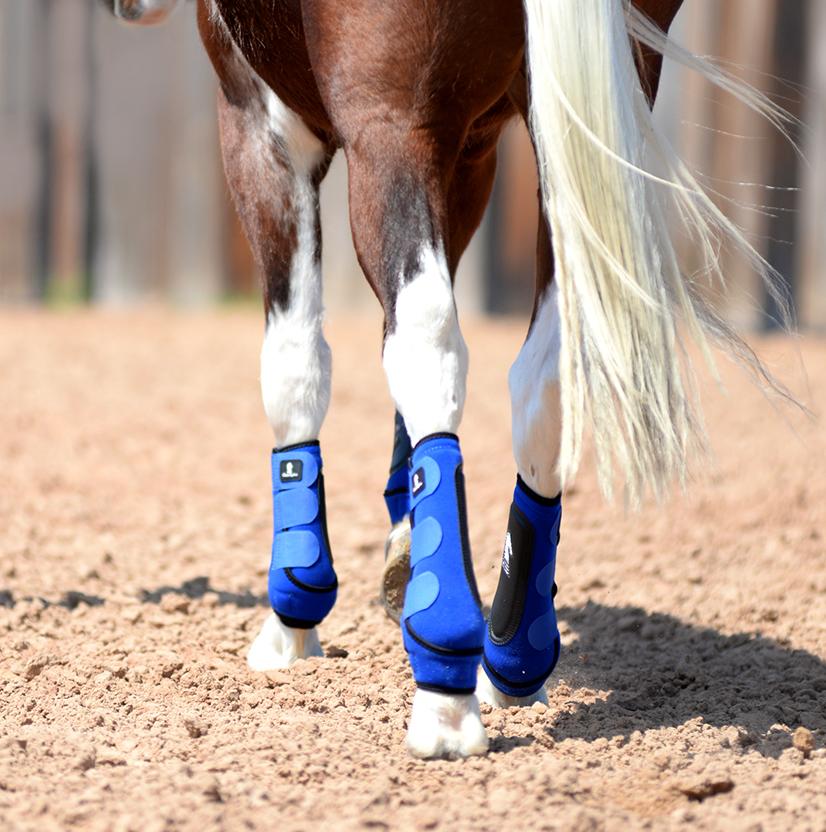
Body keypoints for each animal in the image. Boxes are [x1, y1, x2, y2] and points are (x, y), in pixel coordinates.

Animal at [106, 0, 788, 760]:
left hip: (391, 122)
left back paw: (444, 690)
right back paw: (513, 656)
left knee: (428, 345)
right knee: (542, 378)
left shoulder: (260, 120)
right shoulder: (471, 148)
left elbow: (296, 364)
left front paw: (293, 619)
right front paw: (404, 543)